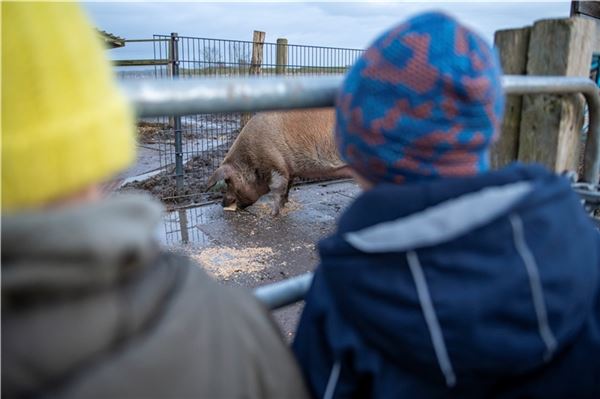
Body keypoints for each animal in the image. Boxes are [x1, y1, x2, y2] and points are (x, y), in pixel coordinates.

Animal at [205, 108, 350, 216]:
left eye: (229, 182)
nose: (222, 203)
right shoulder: (289, 170)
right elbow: (288, 187)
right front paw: (284, 204)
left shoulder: (274, 164)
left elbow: (277, 188)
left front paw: (273, 214)